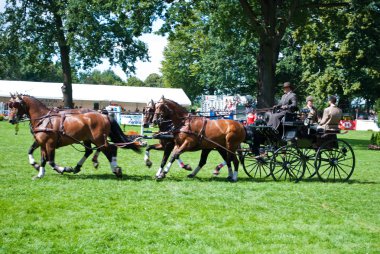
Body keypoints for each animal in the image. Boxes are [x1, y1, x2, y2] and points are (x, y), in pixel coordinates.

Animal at [8, 93, 140, 179]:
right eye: (10, 105)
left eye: (16, 105)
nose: (11, 120)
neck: (44, 119)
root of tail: (104, 115)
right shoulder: (41, 142)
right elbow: (39, 157)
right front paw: (39, 172)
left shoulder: (50, 143)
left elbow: (51, 161)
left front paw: (64, 169)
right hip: (89, 139)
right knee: (92, 150)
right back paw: (80, 166)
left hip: (98, 139)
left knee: (110, 149)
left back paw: (115, 169)